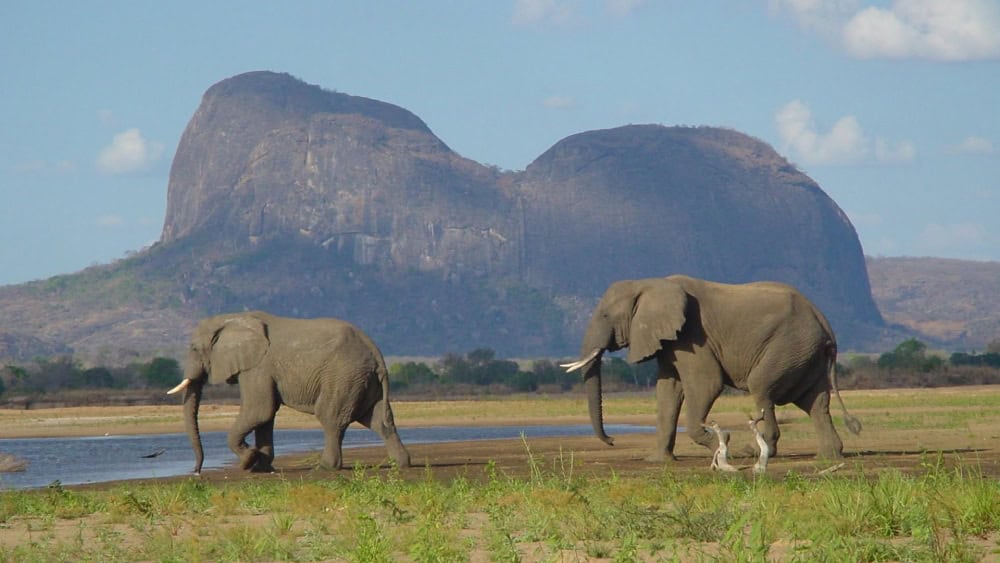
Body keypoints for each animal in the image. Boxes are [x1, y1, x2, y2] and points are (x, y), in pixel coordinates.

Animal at [168, 310, 410, 474]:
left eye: (194, 348)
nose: (197, 471)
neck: (234, 318)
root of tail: (376, 353)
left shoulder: (258, 366)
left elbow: (260, 410)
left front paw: (249, 461)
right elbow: (265, 416)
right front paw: (261, 465)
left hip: (344, 376)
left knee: (331, 419)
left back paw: (325, 467)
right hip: (364, 380)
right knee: (379, 421)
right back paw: (401, 463)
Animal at [564, 274, 860, 462]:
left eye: (605, 315)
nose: (612, 440)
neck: (650, 283)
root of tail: (823, 320)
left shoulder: (692, 337)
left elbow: (705, 384)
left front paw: (726, 444)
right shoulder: (670, 341)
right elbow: (667, 391)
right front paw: (657, 461)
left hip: (788, 346)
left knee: (763, 389)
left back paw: (756, 451)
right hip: (805, 354)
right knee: (815, 401)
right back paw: (828, 455)